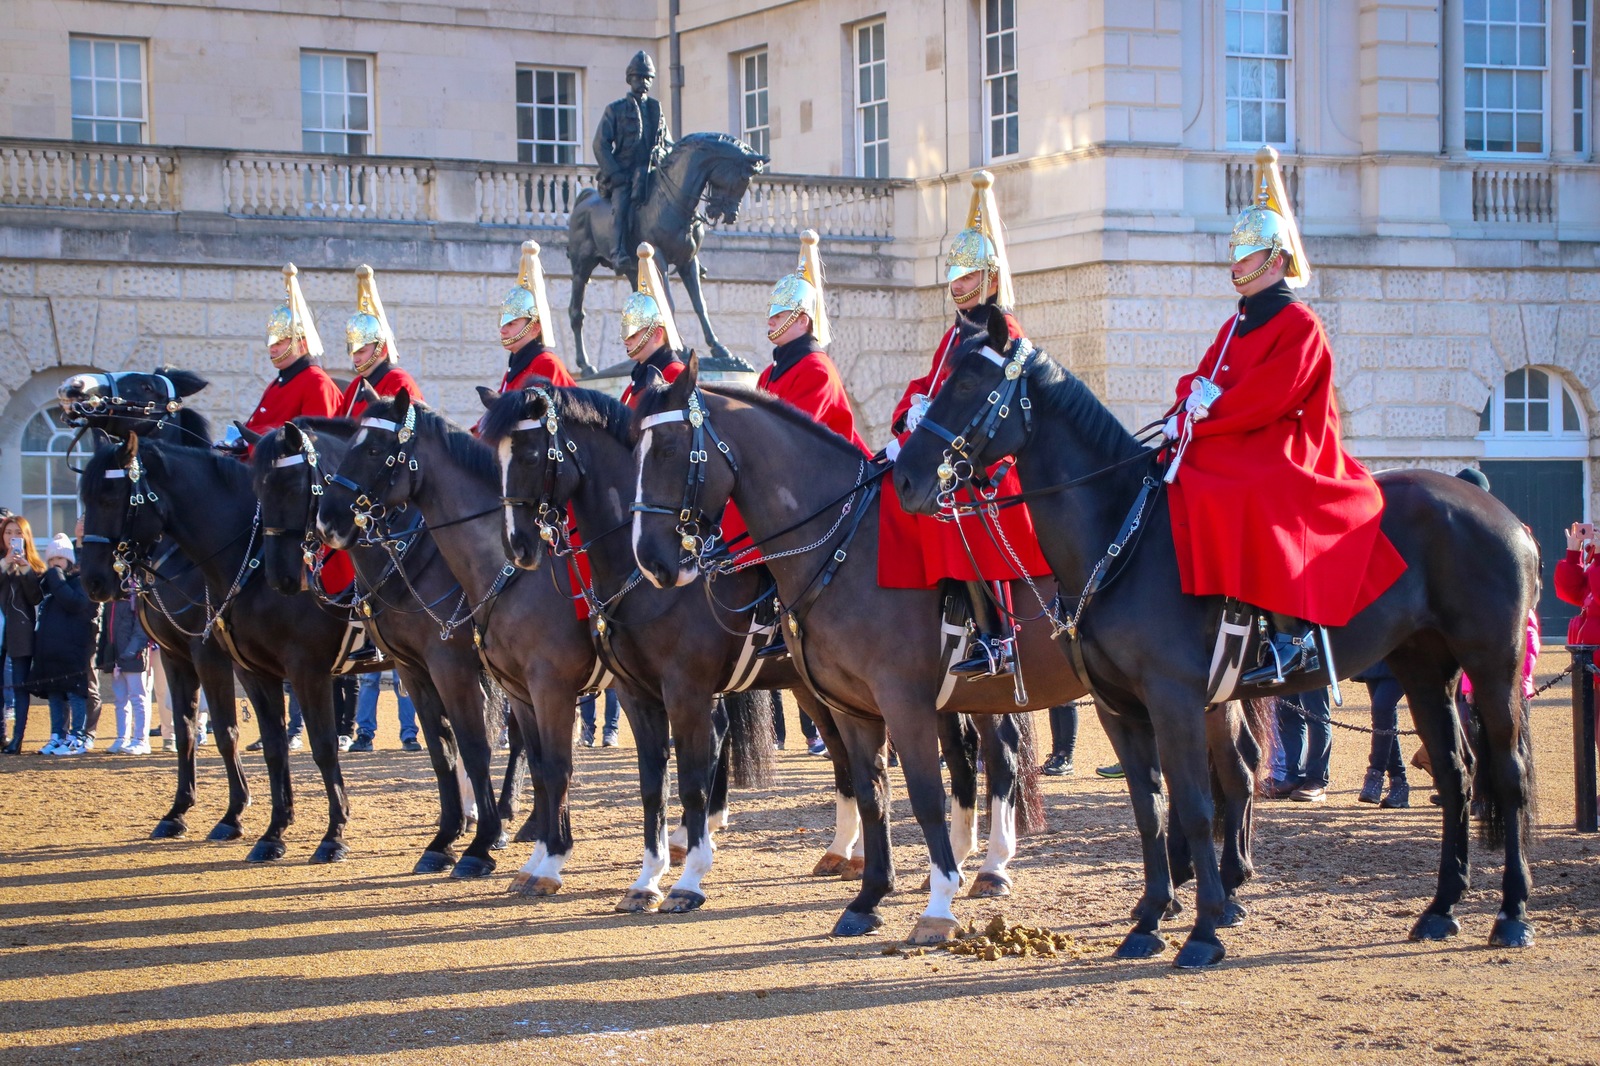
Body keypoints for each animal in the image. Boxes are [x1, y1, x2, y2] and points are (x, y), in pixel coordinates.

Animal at [55, 369, 249, 845]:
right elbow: (185, 731)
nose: (72, 389)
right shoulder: (177, 656)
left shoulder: (208, 653)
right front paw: (178, 810)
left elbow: (226, 729)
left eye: (143, 386)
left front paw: (233, 814)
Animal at [896, 308, 1542, 960]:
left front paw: (1202, 930)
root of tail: (1501, 513)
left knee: (1508, 774)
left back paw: (1510, 912)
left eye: (969, 383)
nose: (905, 480)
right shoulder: (1118, 707)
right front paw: (1150, 920)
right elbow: (1150, 809)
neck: (1121, 533)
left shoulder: (1174, 699)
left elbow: (1196, 807)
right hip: (1423, 668)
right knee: (1457, 773)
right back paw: (1442, 907)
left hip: (1492, 664)